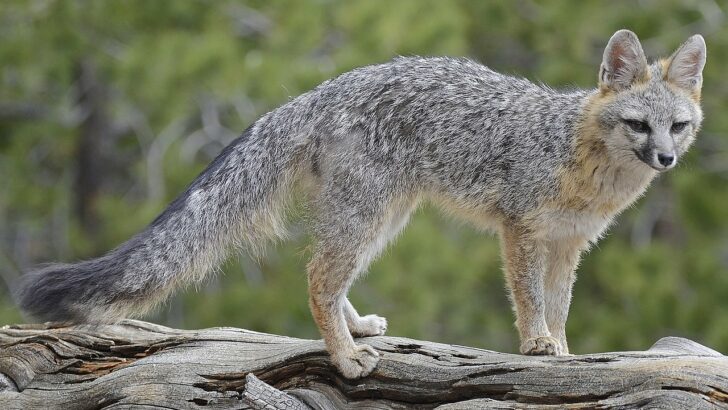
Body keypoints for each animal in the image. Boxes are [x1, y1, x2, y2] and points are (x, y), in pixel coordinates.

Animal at [16, 30, 705, 379]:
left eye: (679, 127)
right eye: (639, 125)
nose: (666, 160)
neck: (579, 156)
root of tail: (318, 91)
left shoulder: (569, 244)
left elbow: (560, 306)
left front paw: (563, 350)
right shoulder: (521, 231)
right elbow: (531, 300)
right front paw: (537, 346)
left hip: (384, 219)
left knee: (330, 277)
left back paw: (356, 331)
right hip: (370, 216)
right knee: (318, 278)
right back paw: (345, 358)